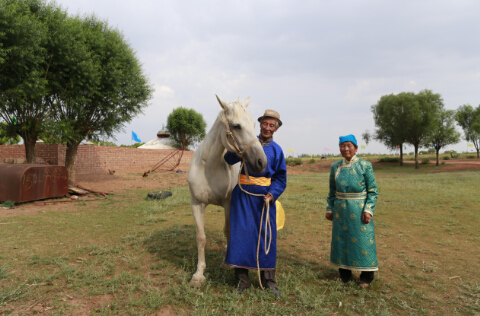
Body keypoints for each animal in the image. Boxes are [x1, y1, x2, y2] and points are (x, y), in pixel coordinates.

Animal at [187, 94, 268, 286]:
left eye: (254, 124)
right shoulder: (196, 203)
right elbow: (201, 237)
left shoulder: (228, 203)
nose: (261, 162)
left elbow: (228, 231)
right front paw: (199, 274)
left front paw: (226, 263)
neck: (209, 167)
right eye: (236, 126)